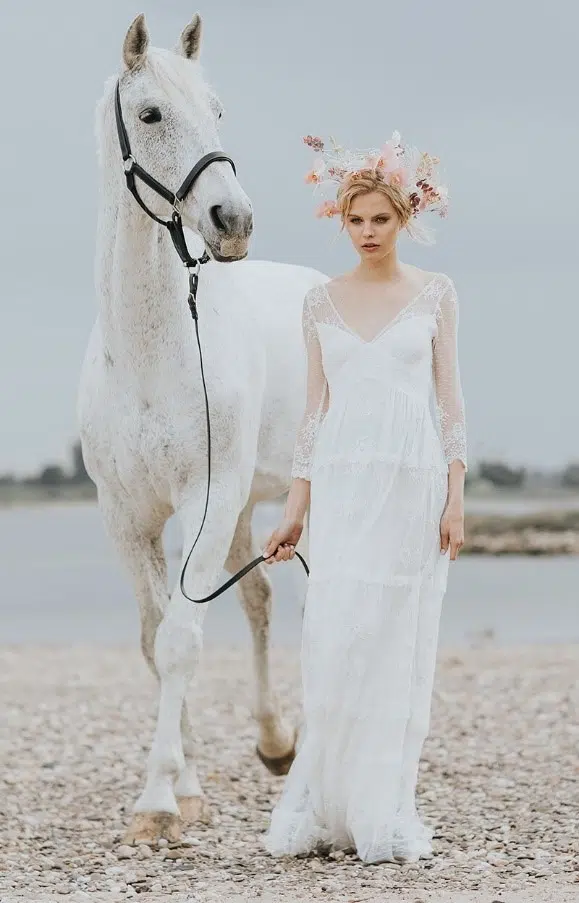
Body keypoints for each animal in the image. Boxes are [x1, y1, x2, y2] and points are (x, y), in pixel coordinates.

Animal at [78, 12, 328, 848]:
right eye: (152, 114)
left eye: (216, 110)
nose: (233, 220)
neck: (150, 355)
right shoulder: (126, 518)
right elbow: (155, 638)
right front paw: (184, 786)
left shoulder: (201, 502)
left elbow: (183, 639)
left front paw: (157, 797)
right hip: (250, 506)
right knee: (259, 603)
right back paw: (275, 742)